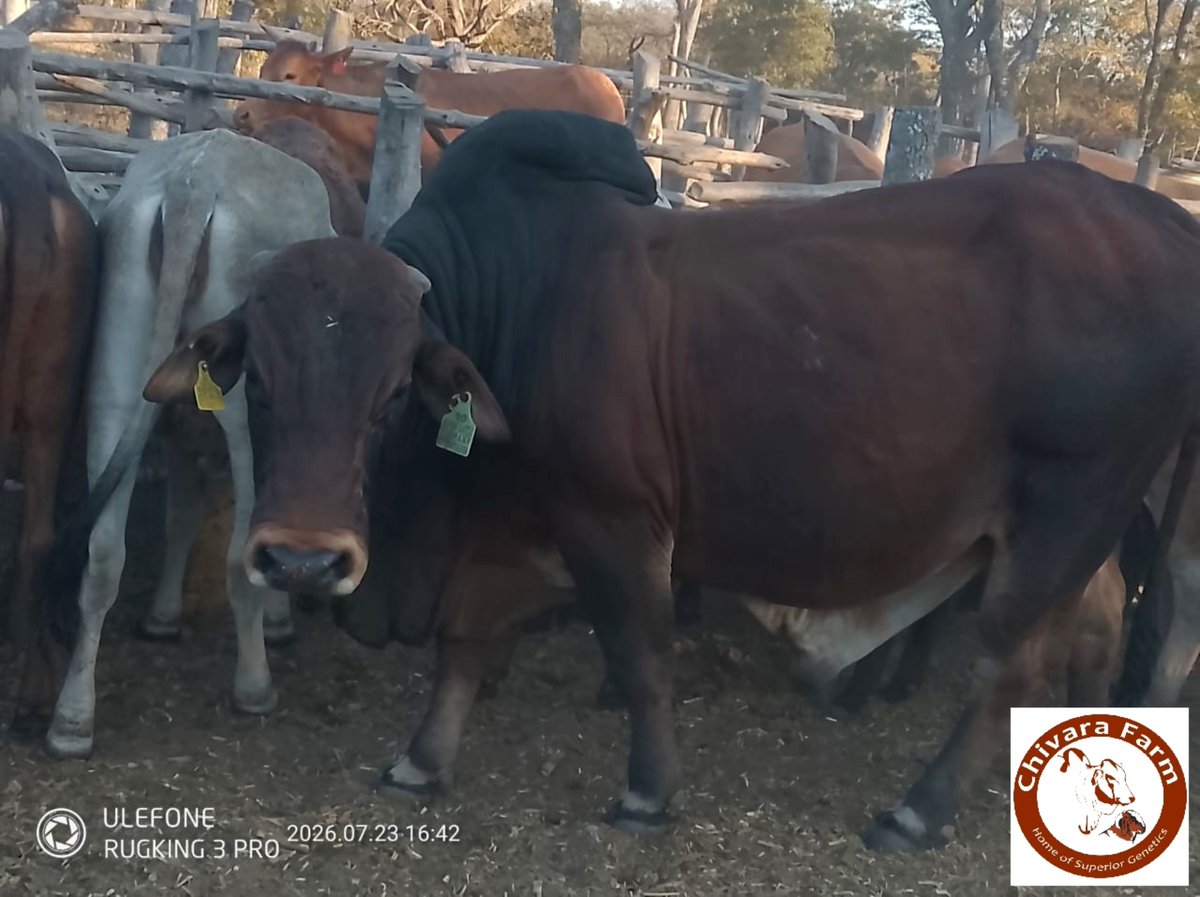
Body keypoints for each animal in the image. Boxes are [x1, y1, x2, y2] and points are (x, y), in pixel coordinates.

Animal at [42, 129, 338, 759]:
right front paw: (278, 622)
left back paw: (72, 720)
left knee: (103, 553)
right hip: (246, 411)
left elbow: (180, 518)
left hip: (117, 379)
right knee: (239, 555)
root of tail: (194, 182)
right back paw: (254, 686)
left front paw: (162, 617)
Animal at [138, 110, 1200, 852]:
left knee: (1008, 666)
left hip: (1067, 516)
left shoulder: (616, 522)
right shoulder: (509, 525)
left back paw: (914, 811)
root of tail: (1165, 226)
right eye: (260, 381)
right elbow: (466, 648)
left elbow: (643, 655)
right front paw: (420, 760)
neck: (517, 305)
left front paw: (647, 792)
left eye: (395, 391)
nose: (303, 561)